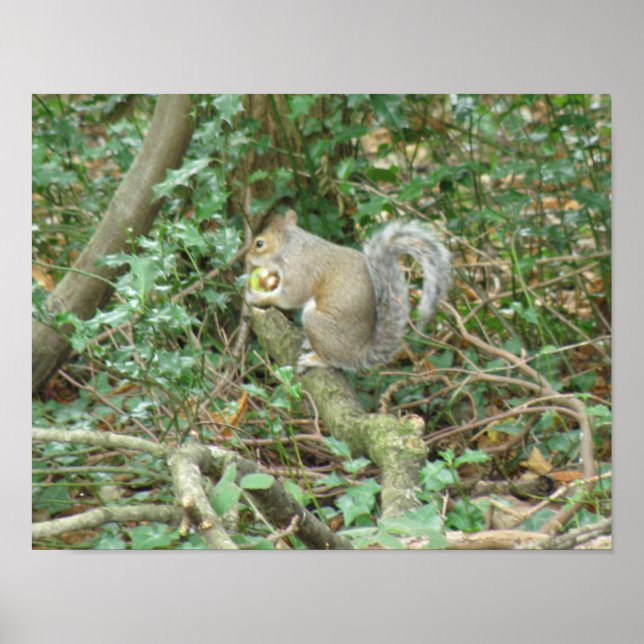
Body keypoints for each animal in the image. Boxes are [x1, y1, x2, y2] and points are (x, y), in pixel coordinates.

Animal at [245, 209, 451, 372]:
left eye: (259, 243)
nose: (247, 258)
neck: (292, 247)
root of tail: (357, 354)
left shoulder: (301, 271)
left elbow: (290, 297)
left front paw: (257, 297)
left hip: (316, 323)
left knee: (333, 360)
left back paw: (314, 359)